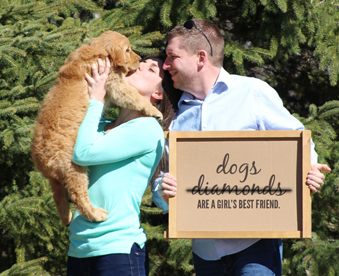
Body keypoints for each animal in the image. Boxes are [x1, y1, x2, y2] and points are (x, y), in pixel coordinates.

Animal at [30, 30, 163, 226]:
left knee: (59, 198)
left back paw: (67, 218)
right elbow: (134, 96)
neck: (99, 51)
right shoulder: (114, 83)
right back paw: (96, 214)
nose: (140, 59)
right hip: (73, 168)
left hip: (55, 179)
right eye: (127, 50)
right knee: (78, 196)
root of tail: (41, 160)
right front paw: (154, 111)